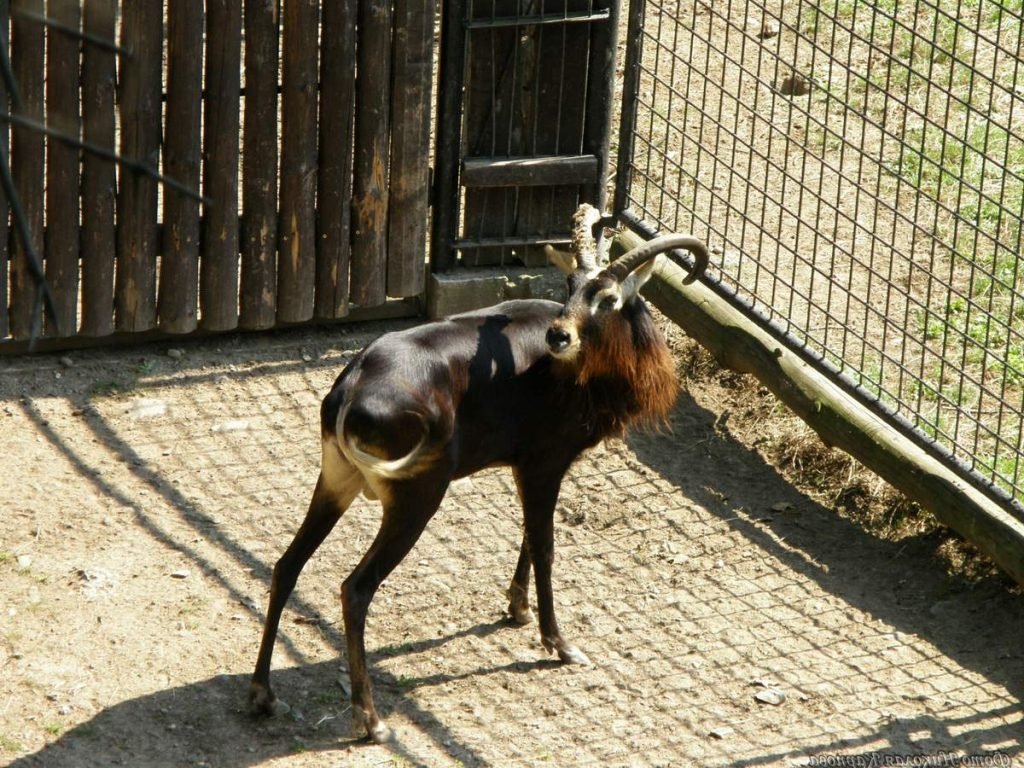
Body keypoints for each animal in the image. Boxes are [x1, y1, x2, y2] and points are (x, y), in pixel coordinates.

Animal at [251, 202, 708, 741]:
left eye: (607, 296)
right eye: (571, 285)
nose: (559, 335)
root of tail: (353, 383)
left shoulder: (524, 468)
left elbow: (528, 538)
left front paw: (517, 609)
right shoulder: (545, 465)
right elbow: (545, 546)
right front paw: (559, 643)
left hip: (334, 484)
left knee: (287, 565)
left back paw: (262, 694)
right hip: (415, 501)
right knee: (355, 589)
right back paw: (372, 721)